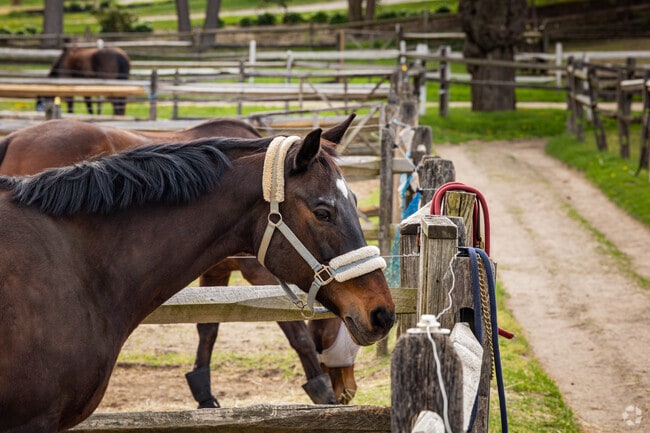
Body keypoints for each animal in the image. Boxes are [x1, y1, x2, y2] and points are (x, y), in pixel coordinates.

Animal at [0, 119, 394, 432]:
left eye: (355, 202)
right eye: (323, 211)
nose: (382, 313)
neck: (75, 262)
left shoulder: (217, 269)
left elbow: (208, 327)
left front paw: (203, 391)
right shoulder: (255, 269)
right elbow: (294, 331)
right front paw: (320, 389)